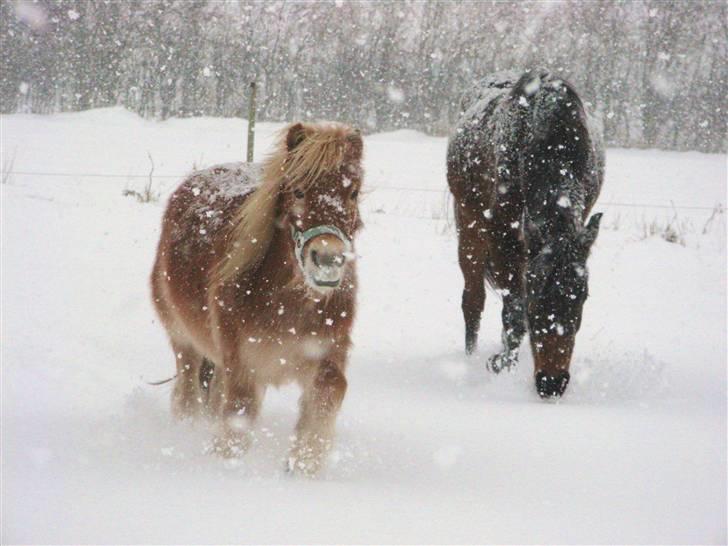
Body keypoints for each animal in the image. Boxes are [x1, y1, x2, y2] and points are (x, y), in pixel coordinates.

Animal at [151, 121, 364, 474]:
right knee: (187, 393)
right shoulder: (243, 369)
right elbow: (236, 424)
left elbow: (326, 398)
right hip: (183, 339)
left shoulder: (325, 357)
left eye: (353, 192)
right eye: (298, 191)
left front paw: (301, 469)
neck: (289, 302)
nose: (328, 259)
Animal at [446, 70, 604, 398]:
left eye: (583, 296)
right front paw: (500, 364)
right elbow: (514, 311)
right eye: (536, 296)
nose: (552, 382)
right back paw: (470, 359)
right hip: (469, 228)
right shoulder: (501, 238)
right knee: (473, 301)